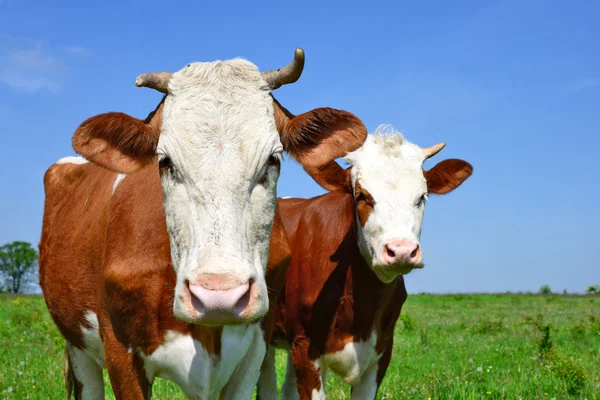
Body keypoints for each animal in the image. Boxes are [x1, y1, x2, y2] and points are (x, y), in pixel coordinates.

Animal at [39, 50, 368, 400]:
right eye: (165, 162)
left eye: (273, 160)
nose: (218, 297)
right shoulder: (119, 350)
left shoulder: (254, 350)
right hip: (78, 346)